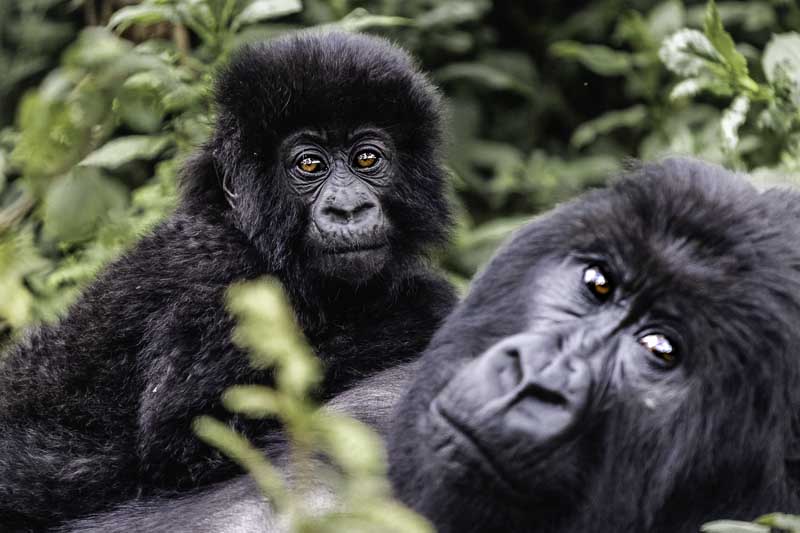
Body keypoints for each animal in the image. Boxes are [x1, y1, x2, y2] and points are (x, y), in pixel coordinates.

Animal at [0, 32, 454, 528]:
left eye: (367, 158)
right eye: (309, 165)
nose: (348, 209)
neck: (249, 234)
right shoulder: (219, 288)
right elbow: (193, 439)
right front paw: (422, 307)